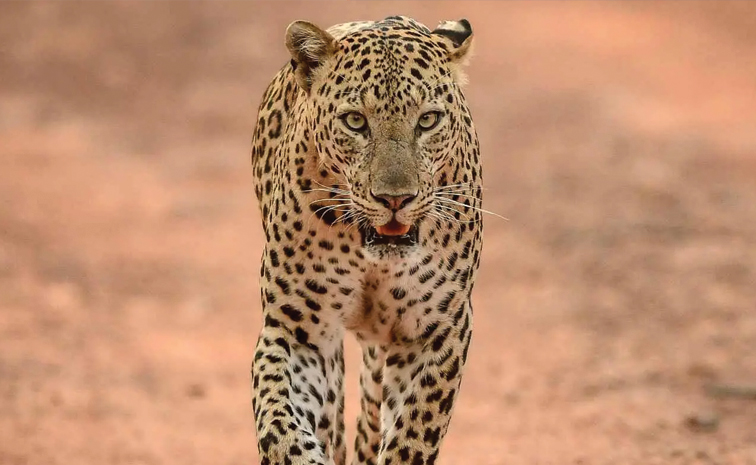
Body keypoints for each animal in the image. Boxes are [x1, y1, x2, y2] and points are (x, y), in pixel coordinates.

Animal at [250, 15, 483, 465]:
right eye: (355, 122)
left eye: (428, 120)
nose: (395, 198)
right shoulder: (297, 331)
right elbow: (279, 423)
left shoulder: (438, 328)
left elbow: (413, 430)